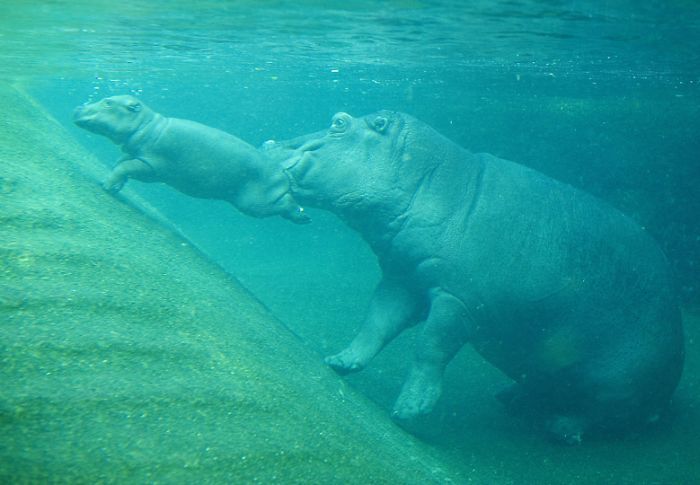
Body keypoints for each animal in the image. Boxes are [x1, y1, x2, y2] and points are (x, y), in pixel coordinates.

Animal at [73, 95, 308, 224]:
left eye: (108, 102)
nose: (78, 107)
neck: (147, 125)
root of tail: (282, 172)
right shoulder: (134, 153)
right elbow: (120, 164)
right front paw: (114, 185)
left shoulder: (151, 166)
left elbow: (126, 167)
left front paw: (106, 186)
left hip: (253, 203)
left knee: (285, 204)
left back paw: (303, 216)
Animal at [284, 110, 684, 442]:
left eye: (339, 122)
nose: (279, 143)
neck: (439, 182)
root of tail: (670, 392)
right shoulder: (404, 277)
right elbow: (375, 324)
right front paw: (339, 362)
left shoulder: (458, 300)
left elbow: (429, 348)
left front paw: (409, 411)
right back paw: (508, 397)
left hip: (619, 378)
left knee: (603, 411)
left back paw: (562, 429)